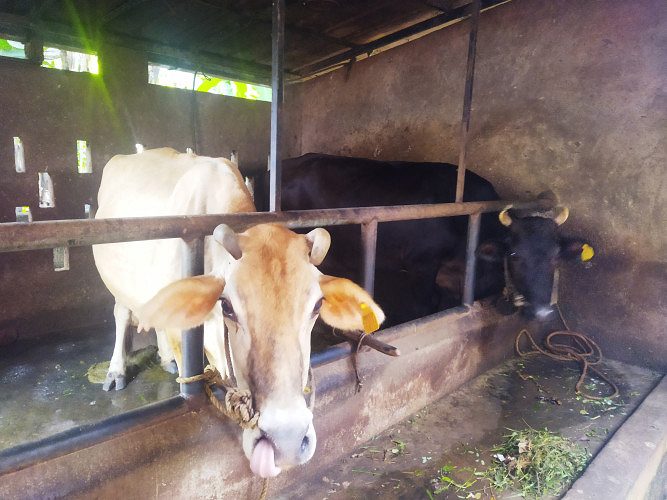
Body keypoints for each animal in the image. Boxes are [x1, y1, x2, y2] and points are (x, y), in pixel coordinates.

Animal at [92, 148, 385, 477]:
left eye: (317, 305)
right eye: (227, 306)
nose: (287, 441)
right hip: (116, 283)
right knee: (122, 314)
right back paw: (117, 370)